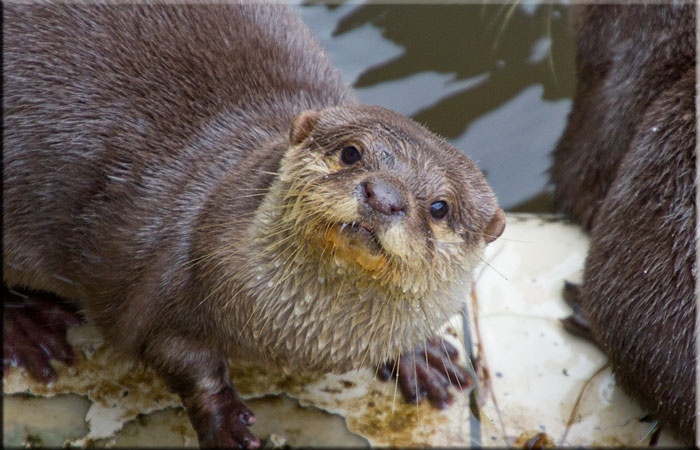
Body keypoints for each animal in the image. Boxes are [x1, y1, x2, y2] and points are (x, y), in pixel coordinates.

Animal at [3, 3, 505, 447]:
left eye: (439, 207)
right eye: (351, 152)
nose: (383, 196)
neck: (302, 340)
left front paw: (421, 358)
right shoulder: (158, 294)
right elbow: (182, 362)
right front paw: (224, 422)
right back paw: (28, 326)